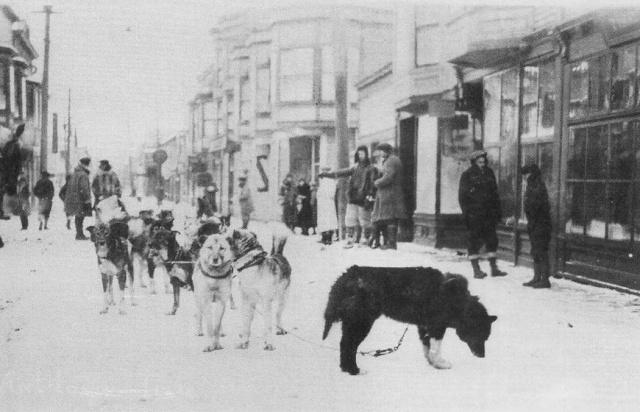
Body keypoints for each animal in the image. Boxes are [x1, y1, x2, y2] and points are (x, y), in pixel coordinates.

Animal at [322, 266, 498, 374]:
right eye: (482, 336)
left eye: (486, 337)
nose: (482, 356)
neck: (458, 301)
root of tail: (348, 274)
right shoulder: (437, 326)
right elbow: (436, 348)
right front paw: (440, 363)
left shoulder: (424, 327)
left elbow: (427, 347)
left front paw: (433, 363)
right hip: (361, 323)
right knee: (349, 346)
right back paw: (354, 371)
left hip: (352, 323)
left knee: (344, 345)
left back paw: (346, 369)